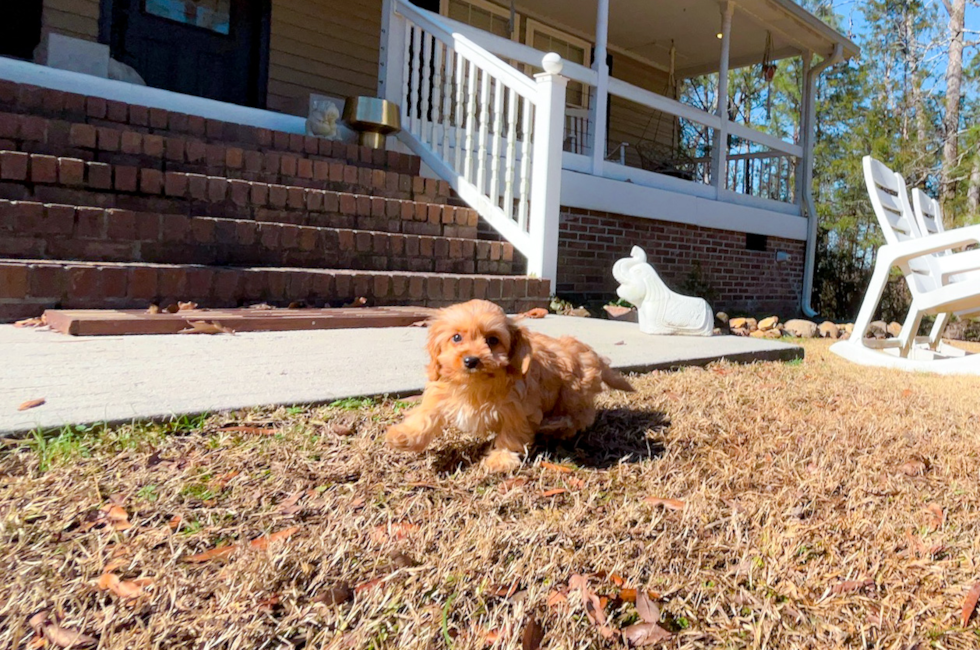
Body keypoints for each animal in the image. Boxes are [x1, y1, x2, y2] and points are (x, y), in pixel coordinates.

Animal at [384, 298, 636, 470]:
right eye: (456, 337)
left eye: (492, 340)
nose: (471, 360)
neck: (475, 384)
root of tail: (589, 353)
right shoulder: (440, 394)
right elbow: (424, 416)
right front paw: (403, 435)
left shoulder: (518, 408)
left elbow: (511, 434)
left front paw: (501, 459)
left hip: (572, 394)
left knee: (579, 418)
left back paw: (552, 425)